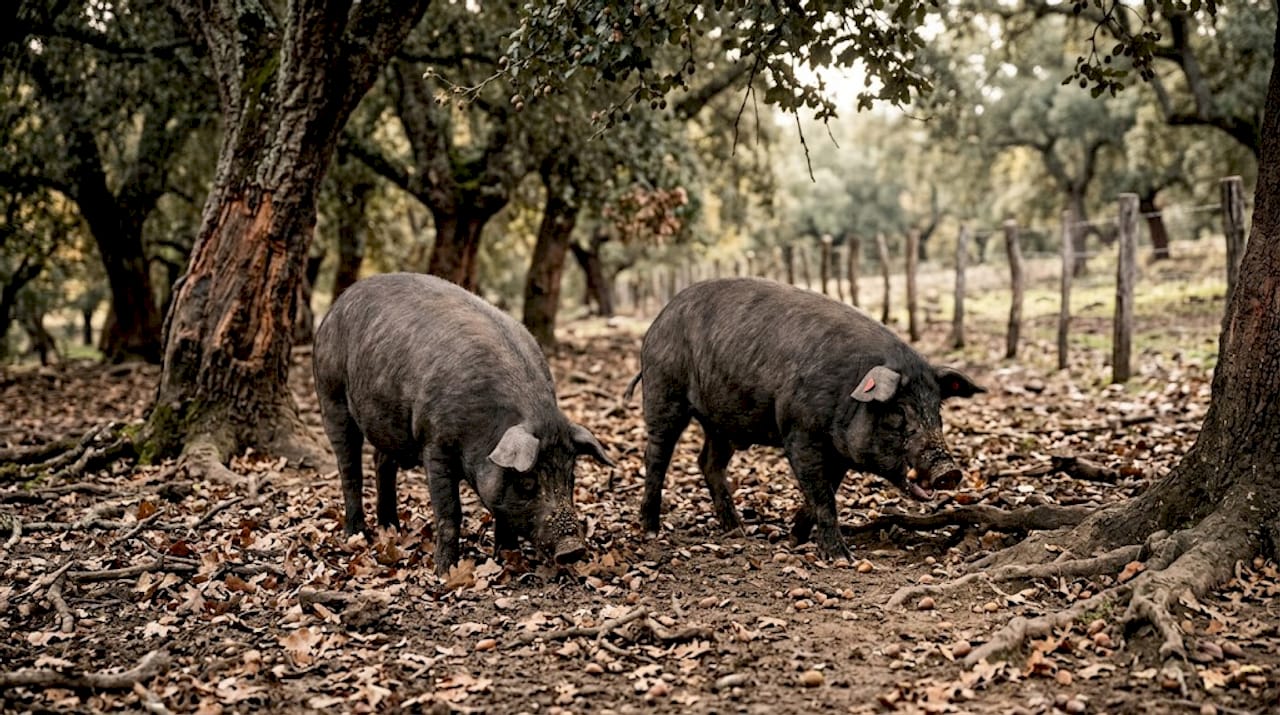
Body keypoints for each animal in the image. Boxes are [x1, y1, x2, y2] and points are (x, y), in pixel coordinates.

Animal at [312, 273, 615, 573]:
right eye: (528, 481)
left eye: (571, 477)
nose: (572, 550)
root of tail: (336, 306)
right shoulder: (435, 444)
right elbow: (450, 512)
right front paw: (445, 571)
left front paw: (508, 558)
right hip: (331, 393)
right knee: (349, 466)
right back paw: (356, 534)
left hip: (385, 419)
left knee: (382, 462)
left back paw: (391, 529)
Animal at [625, 278, 983, 561]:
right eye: (898, 412)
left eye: (936, 410)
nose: (949, 471)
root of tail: (657, 321)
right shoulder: (799, 433)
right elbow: (822, 494)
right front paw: (840, 558)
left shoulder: (838, 453)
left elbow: (825, 491)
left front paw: (794, 539)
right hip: (663, 390)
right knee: (655, 456)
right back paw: (651, 530)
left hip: (721, 421)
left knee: (708, 462)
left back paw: (736, 530)